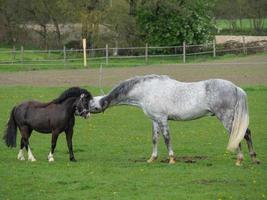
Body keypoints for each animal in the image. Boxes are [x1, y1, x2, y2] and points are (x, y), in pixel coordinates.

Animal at [89, 74, 260, 165]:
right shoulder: (154, 120)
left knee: (237, 136)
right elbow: (155, 139)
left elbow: (166, 138)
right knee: (247, 133)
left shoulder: (162, 119)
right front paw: (152, 158)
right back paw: (254, 159)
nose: (84, 112)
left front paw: (171, 159)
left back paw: (239, 160)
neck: (147, 91)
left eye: (93, 106)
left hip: (226, 118)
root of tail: (236, 88)